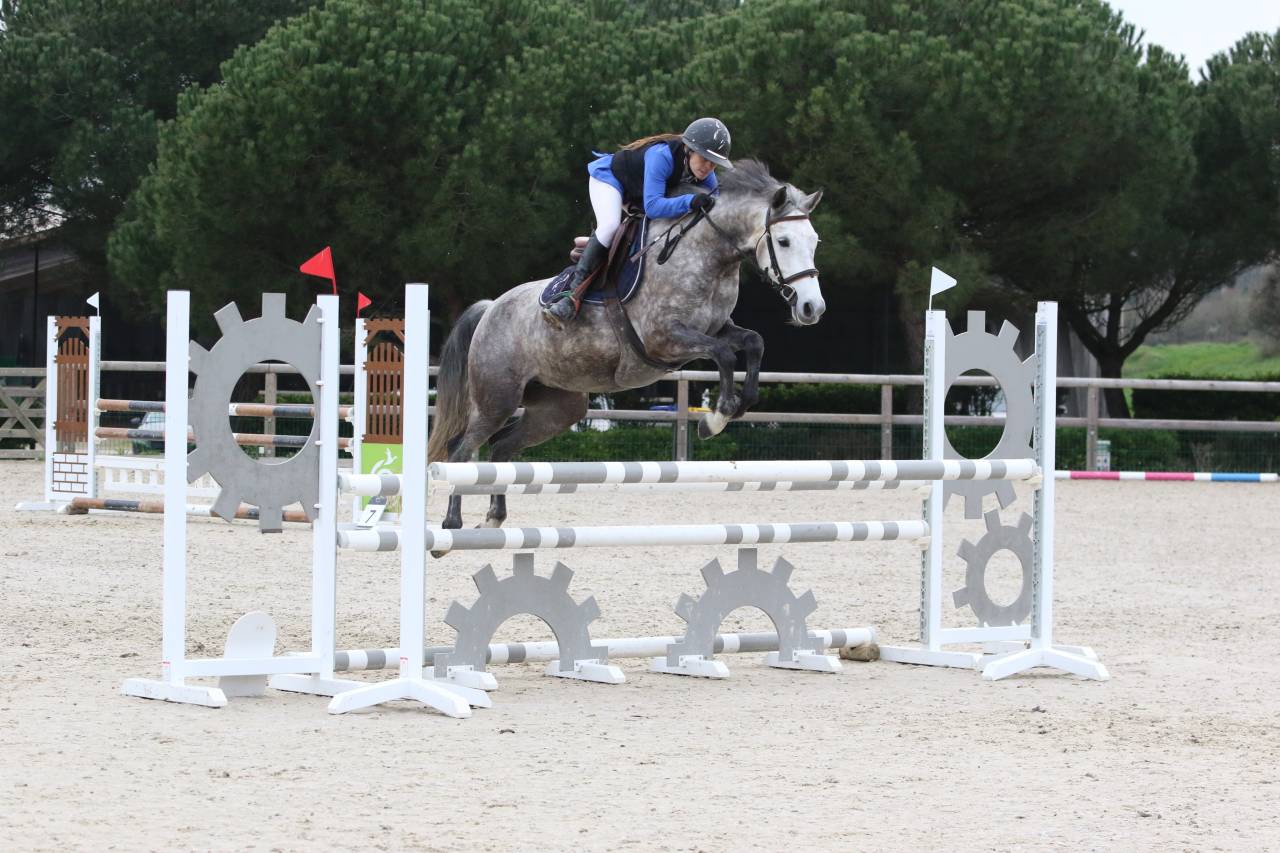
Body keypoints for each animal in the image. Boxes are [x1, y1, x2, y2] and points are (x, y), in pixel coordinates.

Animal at [427, 159, 825, 530]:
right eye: (784, 241)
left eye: (814, 242)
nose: (812, 308)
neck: (707, 258)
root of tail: (490, 308)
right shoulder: (665, 340)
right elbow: (724, 354)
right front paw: (716, 418)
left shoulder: (717, 329)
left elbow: (753, 342)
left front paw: (737, 406)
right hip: (497, 398)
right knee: (461, 449)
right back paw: (451, 526)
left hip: (558, 408)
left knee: (502, 446)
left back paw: (493, 518)